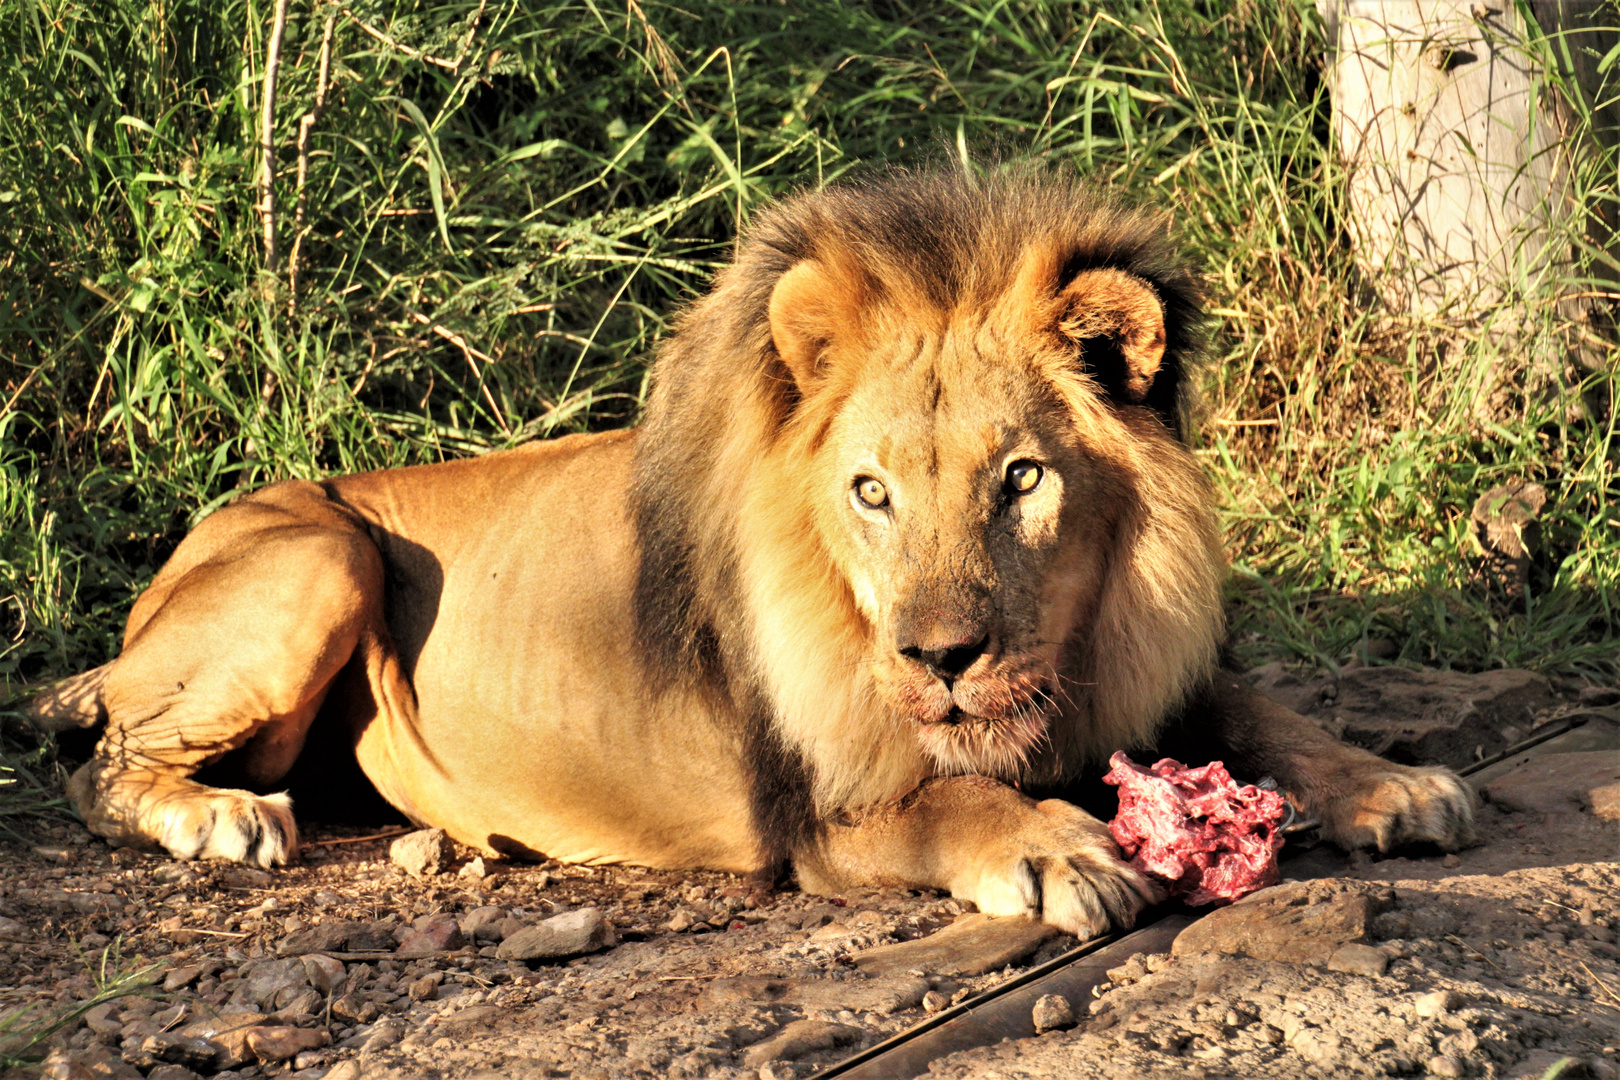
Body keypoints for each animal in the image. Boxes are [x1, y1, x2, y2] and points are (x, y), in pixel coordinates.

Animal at [25, 169, 1477, 939]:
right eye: (872, 492)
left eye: (1021, 479)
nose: (941, 656)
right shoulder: (813, 814)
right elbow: (947, 799)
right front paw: (1059, 849)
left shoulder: (1161, 679)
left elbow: (1273, 718)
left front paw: (1394, 784)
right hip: (321, 559)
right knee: (99, 770)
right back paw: (221, 819)